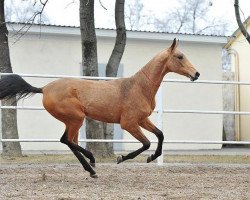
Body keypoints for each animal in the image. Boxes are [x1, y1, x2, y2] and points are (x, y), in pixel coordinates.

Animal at [0, 38, 199, 177]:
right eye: (180, 56)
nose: (196, 74)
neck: (138, 87)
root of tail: (44, 89)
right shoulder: (129, 123)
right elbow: (146, 143)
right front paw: (121, 158)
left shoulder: (142, 119)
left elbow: (160, 135)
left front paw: (152, 157)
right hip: (76, 118)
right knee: (66, 140)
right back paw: (92, 163)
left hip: (73, 121)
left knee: (70, 141)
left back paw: (91, 167)